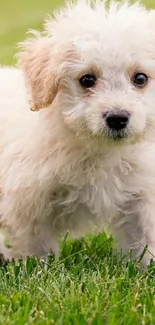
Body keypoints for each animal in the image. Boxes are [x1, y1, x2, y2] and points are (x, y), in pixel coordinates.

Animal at [0, 0, 155, 266]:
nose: (117, 118)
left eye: (140, 78)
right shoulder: (27, 203)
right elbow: (38, 247)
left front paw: (144, 267)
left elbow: (143, 237)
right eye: (87, 80)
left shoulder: (141, 194)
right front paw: (40, 266)